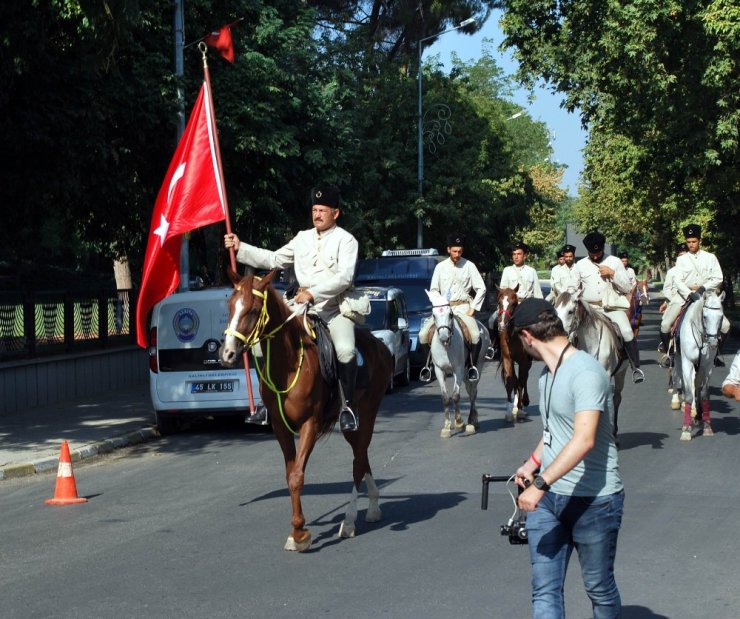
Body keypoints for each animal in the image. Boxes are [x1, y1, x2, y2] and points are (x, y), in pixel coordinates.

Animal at [220, 272, 394, 552]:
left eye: (253, 310)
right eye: (230, 306)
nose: (227, 353)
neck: (288, 365)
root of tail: (380, 346)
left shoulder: (309, 424)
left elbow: (297, 477)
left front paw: (299, 534)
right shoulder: (281, 428)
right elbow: (289, 474)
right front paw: (297, 531)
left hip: (368, 412)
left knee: (358, 460)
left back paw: (349, 521)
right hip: (353, 423)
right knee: (361, 453)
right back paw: (373, 506)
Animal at [422, 292, 492, 440]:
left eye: (450, 314)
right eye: (434, 315)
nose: (444, 338)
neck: (446, 347)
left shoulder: (458, 370)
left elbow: (455, 395)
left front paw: (459, 422)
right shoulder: (439, 371)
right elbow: (445, 397)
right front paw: (447, 426)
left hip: (476, 366)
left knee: (473, 392)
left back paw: (471, 422)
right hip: (465, 374)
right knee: (470, 390)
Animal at [498, 288, 532, 424]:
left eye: (513, 303)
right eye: (499, 302)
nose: (502, 325)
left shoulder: (523, 360)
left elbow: (521, 381)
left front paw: (520, 410)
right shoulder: (507, 358)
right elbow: (510, 382)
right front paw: (509, 413)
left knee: (524, 379)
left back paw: (523, 403)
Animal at [672, 292, 724, 440]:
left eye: (721, 317)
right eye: (705, 317)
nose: (713, 343)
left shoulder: (707, 367)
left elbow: (705, 394)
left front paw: (707, 426)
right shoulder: (687, 363)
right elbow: (689, 394)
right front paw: (686, 429)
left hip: (699, 368)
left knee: (697, 387)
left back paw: (698, 416)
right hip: (679, 362)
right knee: (681, 382)